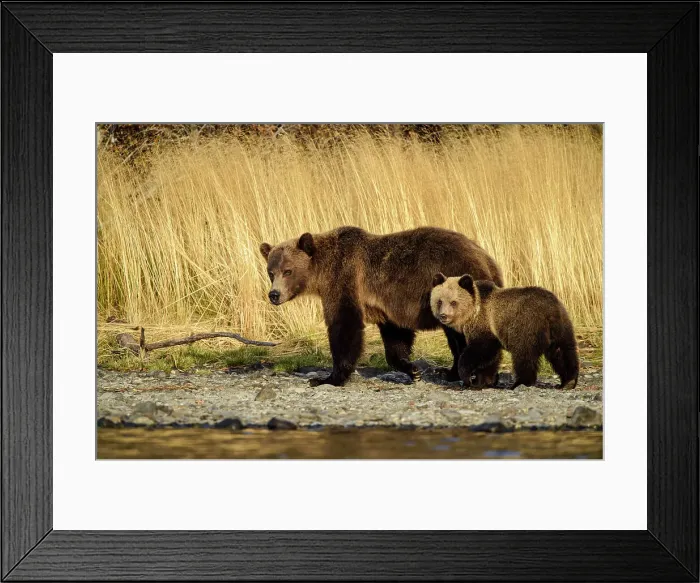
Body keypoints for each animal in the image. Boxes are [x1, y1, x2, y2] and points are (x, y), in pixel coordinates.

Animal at [259, 226, 503, 386]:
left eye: (288, 271)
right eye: (271, 272)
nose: (274, 294)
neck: (321, 272)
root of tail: (487, 259)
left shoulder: (345, 278)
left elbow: (344, 325)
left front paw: (328, 378)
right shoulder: (386, 305)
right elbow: (395, 337)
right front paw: (412, 370)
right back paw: (450, 372)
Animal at [430, 274, 579, 390]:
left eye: (453, 302)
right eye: (439, 301)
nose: (443, 316)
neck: (473, 313)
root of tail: (550, 312)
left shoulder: (485, 325)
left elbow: (480, 351)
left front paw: (468, 378)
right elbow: (491, 359)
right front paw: (484, 380)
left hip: (526, 326)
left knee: (524, 355)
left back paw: (520, 383)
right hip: (562, 326)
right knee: (563, 352)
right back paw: (568, 381)